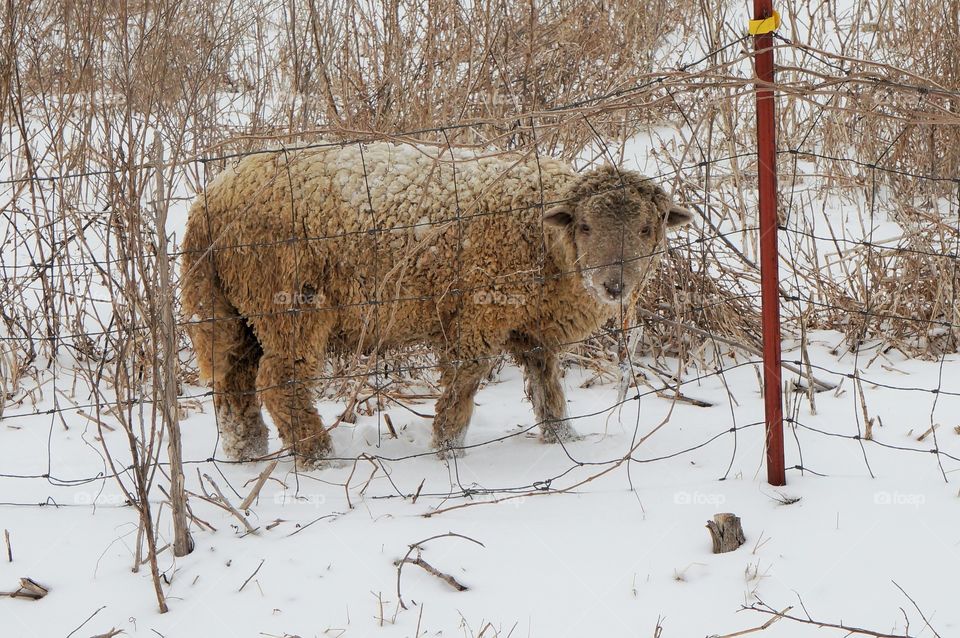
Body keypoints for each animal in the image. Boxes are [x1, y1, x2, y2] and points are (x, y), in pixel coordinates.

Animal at [180, 142, 688, 468]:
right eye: (585, 226)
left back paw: (246, 452)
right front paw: (448, 449)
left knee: (233, 380)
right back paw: (319, 456)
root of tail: (208, 203)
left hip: (236, 309)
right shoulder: (479, 312)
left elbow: (547, 385)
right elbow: (464, 380)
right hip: (289, 304)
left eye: (647, 228)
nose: (614, 285)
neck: (541, 235)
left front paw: (565, 439)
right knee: (277, 381)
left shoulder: (532, 327)